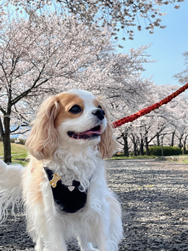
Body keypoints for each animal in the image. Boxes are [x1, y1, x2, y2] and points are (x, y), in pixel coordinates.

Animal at [0, 90, 122, 251]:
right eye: (75, 109)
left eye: (100, 107)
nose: (100, 113)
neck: (75, 157)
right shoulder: (51, 216)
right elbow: (56, 242)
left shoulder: (98, 209)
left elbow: (104, 241)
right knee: (40, 236)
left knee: (82, 235)